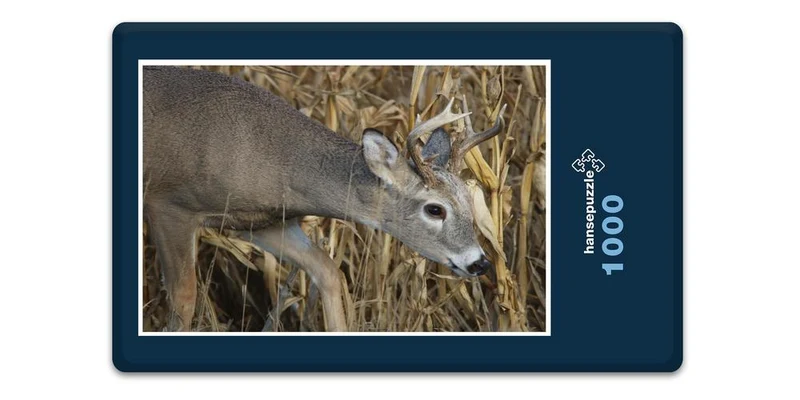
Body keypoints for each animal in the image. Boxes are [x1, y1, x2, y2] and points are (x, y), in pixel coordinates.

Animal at [143, 66, 505, 332]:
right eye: (435, 209)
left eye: (469, 200)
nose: (480, 262)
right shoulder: (169, 204)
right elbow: (183, 298)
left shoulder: (261, 221)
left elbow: (329, 271)